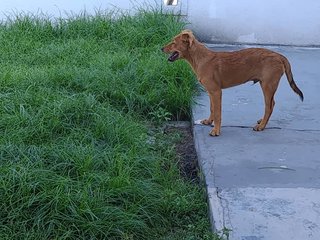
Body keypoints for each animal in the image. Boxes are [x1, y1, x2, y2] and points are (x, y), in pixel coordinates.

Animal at [161, 29, 304, 137]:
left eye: (173, 43)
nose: (161, 48)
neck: (200, 58)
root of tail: (280, 56)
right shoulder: (211, 92)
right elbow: (212, 108)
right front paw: (208, 121)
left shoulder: (216, 91)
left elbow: (218, 112)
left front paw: (216, 131)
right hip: (266, 85)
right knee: (271, 104)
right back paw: (261, 121)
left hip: (268, 86)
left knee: (269, 106)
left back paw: (261, 126)